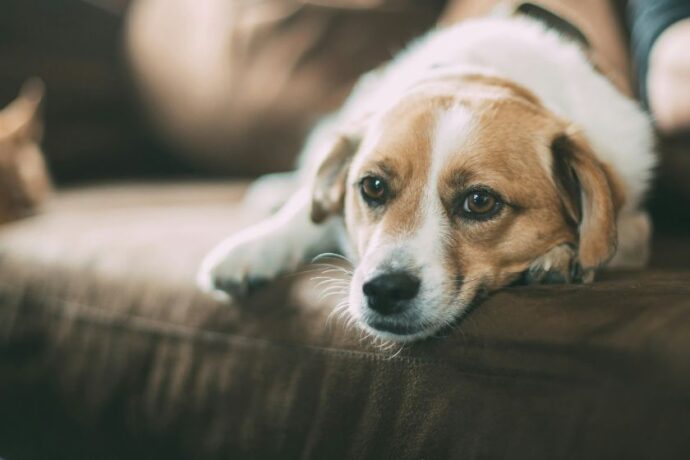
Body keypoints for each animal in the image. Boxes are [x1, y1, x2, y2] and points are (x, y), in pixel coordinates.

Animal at [196, 13, 652, 342]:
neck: (481, 73)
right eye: (372, 186)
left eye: (480, 201)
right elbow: (304, 214)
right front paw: (254, 248)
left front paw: (562, 256)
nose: (384, 290)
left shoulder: (633, 221)